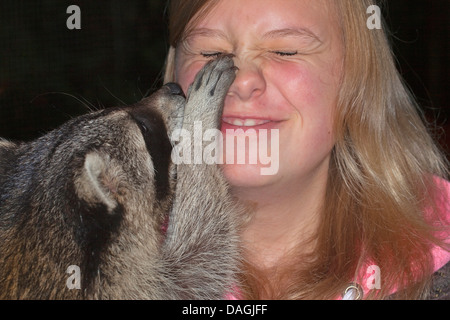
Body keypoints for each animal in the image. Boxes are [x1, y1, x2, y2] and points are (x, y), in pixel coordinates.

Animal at [0, 55, 243, 300]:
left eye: (100, 111)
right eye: (143, 128)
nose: (173, 87)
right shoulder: (131, 286)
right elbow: (203, 253)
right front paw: (199, 124)